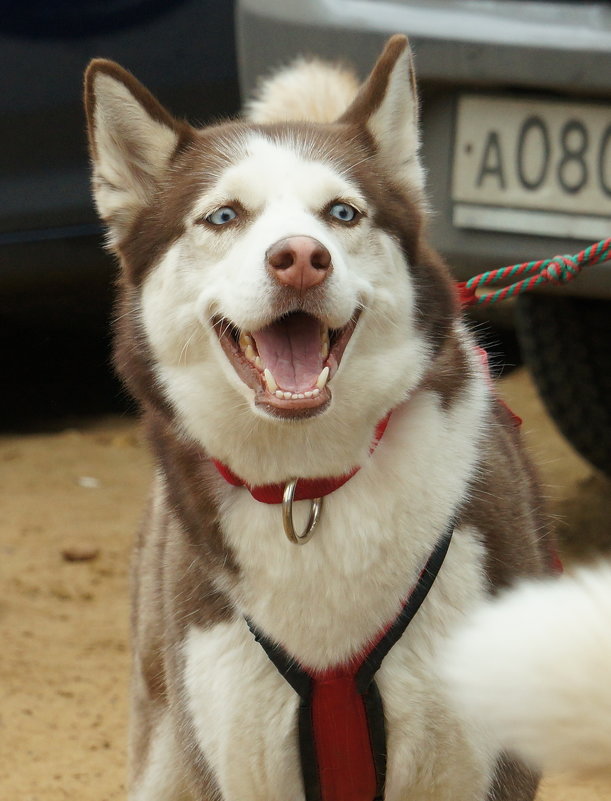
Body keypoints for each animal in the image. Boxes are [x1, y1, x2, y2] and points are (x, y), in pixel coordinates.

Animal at [86, 34, 560, 796]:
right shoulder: (238, 762)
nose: (300, 258)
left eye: (341, 213)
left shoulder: (475, 766)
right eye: (224, 216)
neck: (307, 487)